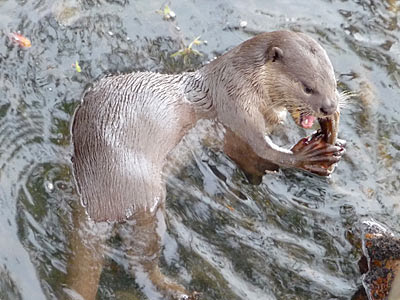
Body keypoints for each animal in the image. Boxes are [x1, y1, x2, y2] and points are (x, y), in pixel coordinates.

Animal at [70, 31, 346, 300]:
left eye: (333, 83)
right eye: (308, 87)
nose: (329, 106)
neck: (244, 83)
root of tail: (95, 202)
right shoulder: (237, 113)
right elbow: (262, 153)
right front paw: (310, 156)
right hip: (143, 196)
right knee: (140, 259)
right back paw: (179, 291)